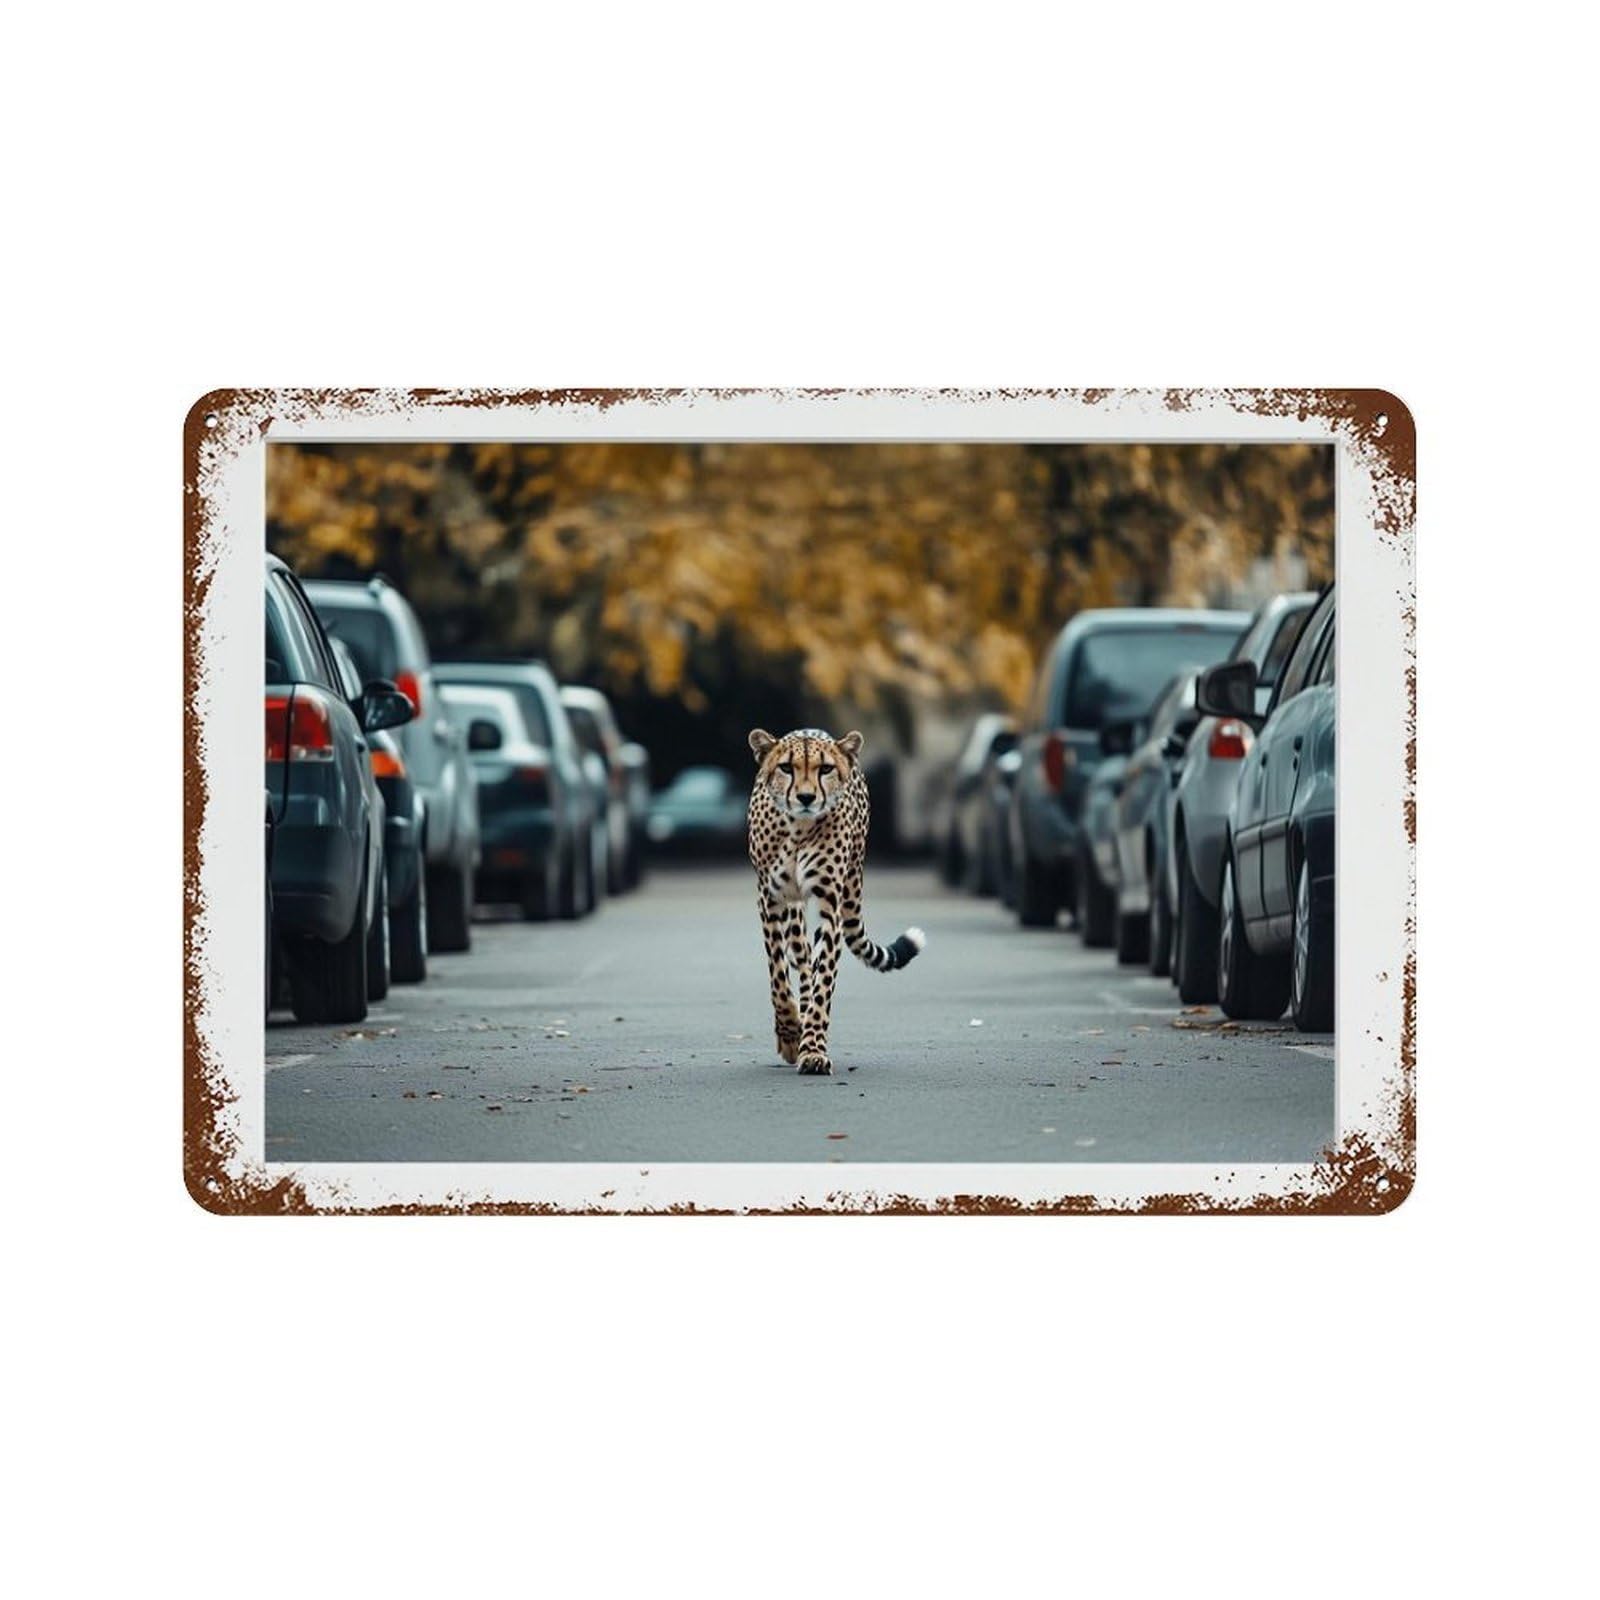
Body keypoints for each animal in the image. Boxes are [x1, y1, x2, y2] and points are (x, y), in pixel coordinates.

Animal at [747, 726, 925, 1075]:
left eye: (825, 769)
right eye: (786, 768)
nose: (805, 797)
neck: (797, 828)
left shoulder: (830, 904)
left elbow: (823, 982)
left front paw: (813, 1049)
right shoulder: (770, 898)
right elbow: (778, 974)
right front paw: (790, 1033)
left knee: (812, 966)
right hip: (793, 911)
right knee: (801, 958)